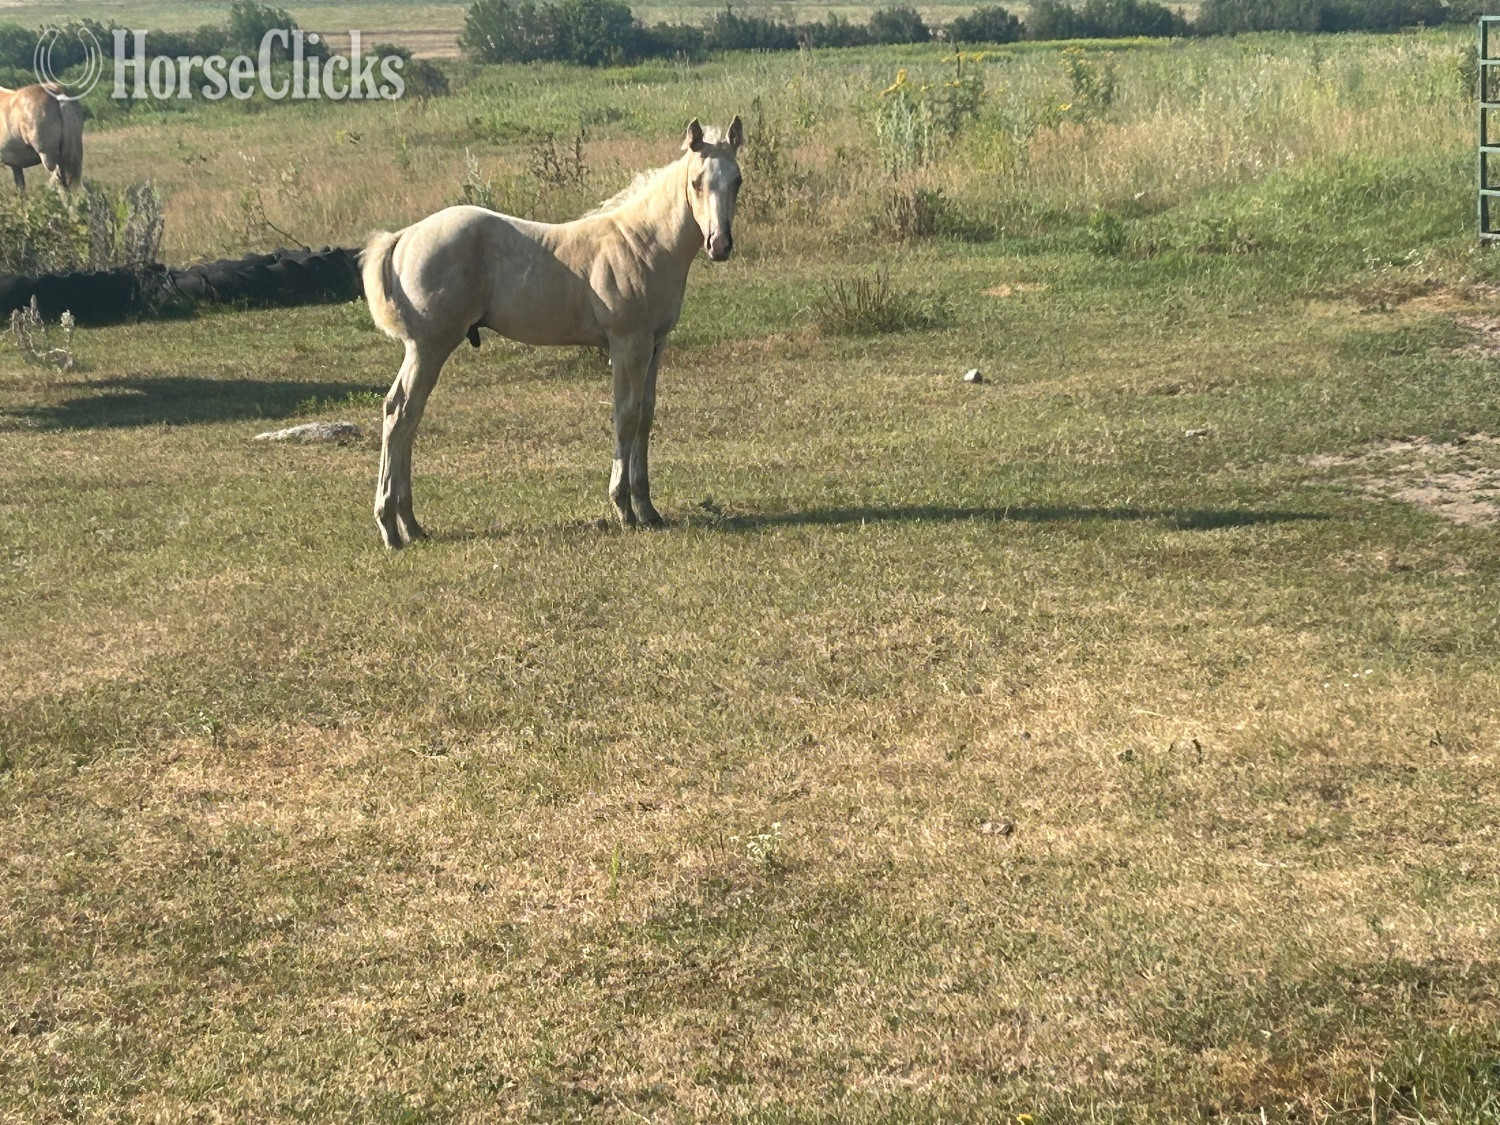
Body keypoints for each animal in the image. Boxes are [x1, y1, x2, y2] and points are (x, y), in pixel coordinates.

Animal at [361, 116, 743, 549]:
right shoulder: (627, 343)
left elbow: (645, 414)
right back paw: (392, 527)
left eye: (737, 180)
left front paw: (648, 509)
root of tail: (404, 236)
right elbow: (625, 415)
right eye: (696, 182)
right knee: (400, 413)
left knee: (408, 416)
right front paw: (624, 509)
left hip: (425, 349)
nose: (719, 244)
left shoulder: (655, 344)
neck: (643, 244)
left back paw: (412, 525)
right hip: (428, 347)